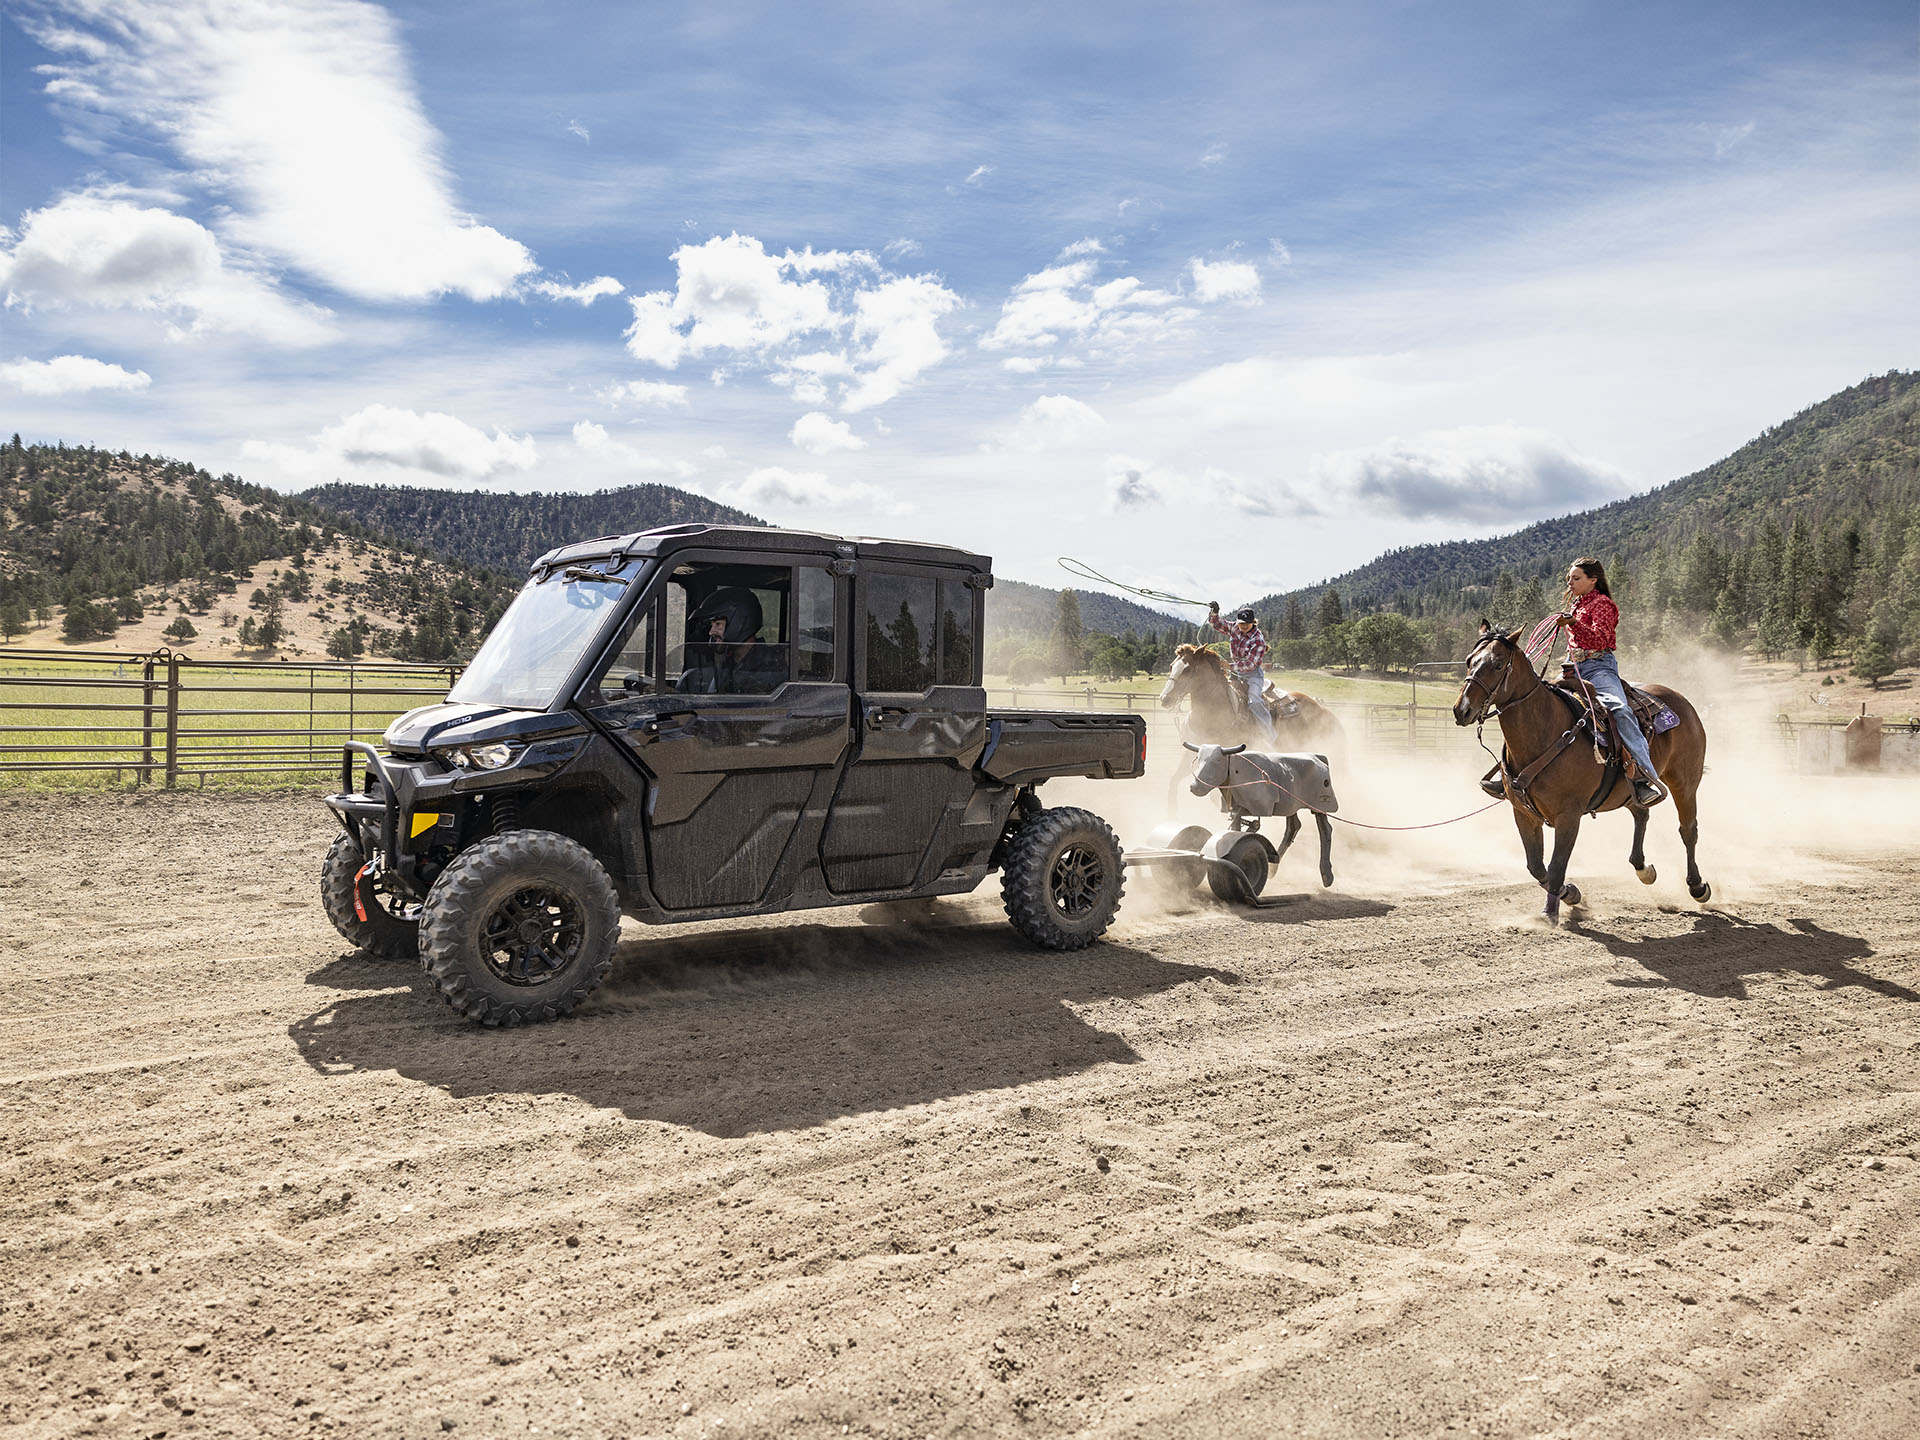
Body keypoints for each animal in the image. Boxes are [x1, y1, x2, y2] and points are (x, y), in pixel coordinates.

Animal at [1451, 629, 1712, 925]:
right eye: (1469, 660)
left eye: (1497, 664)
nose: (1462, 710)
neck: (1546, 730)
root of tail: (1681, 700)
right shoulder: (1523, 813)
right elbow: (1536, 866)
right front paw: (1571, 894)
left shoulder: (1569, 815)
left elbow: (1556, 865)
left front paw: (1549, 914)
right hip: (1629, 789)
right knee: (1641, 813)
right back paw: (1644, 869)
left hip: (1685, 782)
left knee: (1688, 830)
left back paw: (1697, 886)